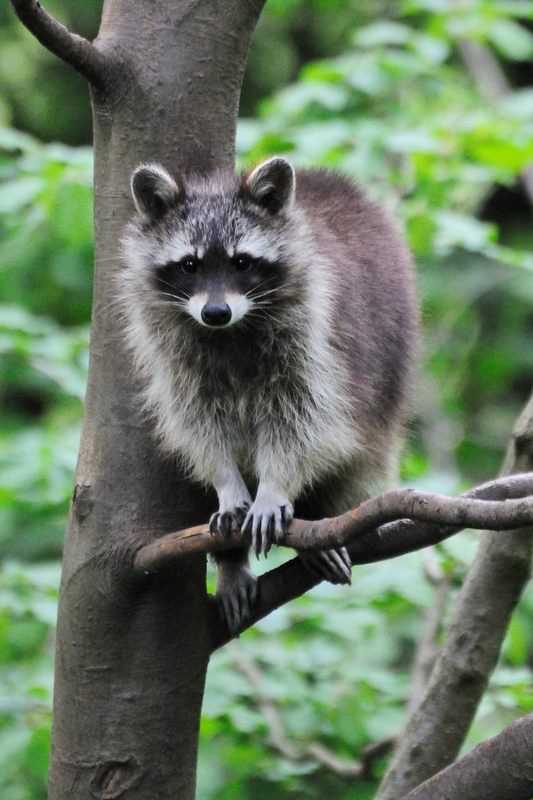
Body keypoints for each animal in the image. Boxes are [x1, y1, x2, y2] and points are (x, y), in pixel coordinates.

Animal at [118, 155, 418, 632]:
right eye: (189, 265)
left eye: (242, 262)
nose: (215, 312)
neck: (230, 332)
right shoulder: (174, 355)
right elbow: (197, 424)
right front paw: (227, 484)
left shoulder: (315, 341)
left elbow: (305, 420)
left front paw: (275, 487)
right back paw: (230, 562)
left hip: (384, 377)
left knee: (353, 453)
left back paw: (319, 523)